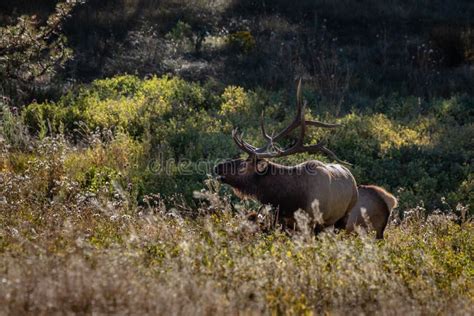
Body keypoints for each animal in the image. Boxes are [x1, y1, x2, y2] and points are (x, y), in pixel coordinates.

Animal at [213, 80, 358, 231]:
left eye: (243, 165)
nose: (218, 167)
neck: (289, 201)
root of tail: (352, 178)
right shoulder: (282, 221)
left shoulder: (312, 221)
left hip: (344, 215)